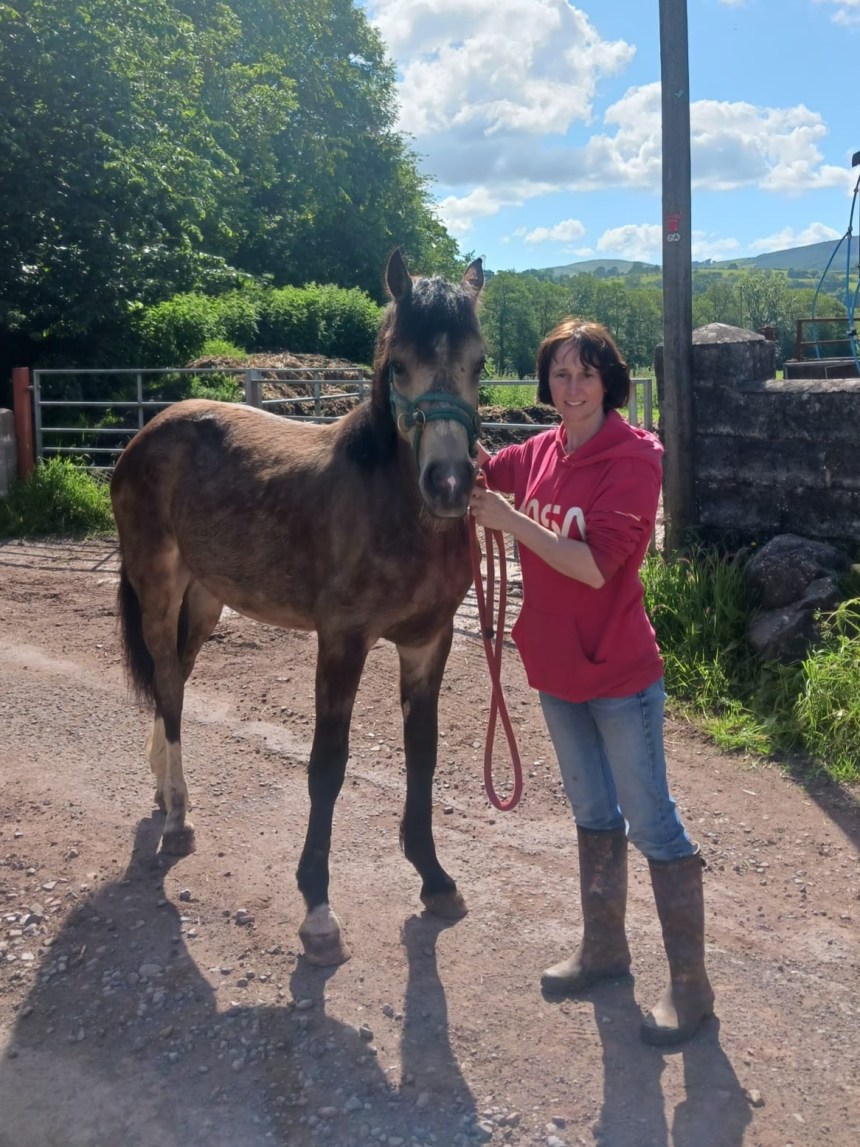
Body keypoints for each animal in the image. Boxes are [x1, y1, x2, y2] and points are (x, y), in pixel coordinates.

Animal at [111, 249, 486, 966]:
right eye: (399, 364)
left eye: (479, 365)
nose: (450, 485)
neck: (395, 509)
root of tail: (147, 432)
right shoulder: (341, 642)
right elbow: (327, 768)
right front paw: (317, 910)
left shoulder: (429, 643)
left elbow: (422, 758)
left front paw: (435, 878)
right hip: (158, 588)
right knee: (167, 685)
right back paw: (178, 817)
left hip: (204, 601)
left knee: (175, 681)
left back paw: (161, 789)